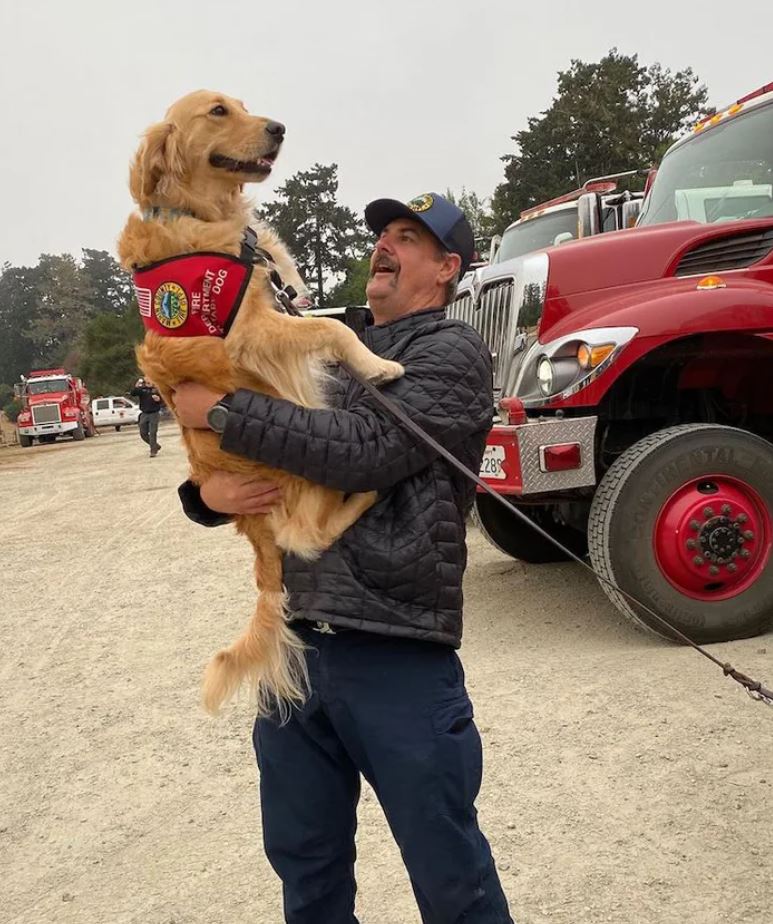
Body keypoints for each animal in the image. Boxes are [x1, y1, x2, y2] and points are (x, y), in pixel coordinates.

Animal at [119, 90, 404, 716]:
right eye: (217, 111)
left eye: (243, 104)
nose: (279, 128)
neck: (204, 215)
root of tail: (253, 529)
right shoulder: (255, 331)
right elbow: (336, 331)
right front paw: (379, 365)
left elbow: (334, 323)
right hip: (306, 468)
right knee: (309, 536)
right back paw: (366, 493)